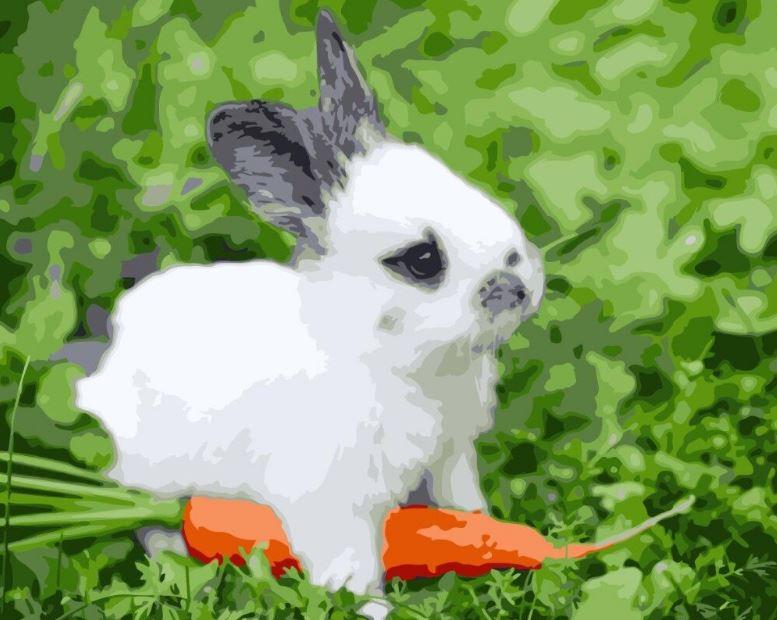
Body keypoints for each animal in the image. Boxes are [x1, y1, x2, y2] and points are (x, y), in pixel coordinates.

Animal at [75, 9, 544, 616]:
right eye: (421, 260)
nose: (517, 286)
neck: (390, 359)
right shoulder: (334, 509)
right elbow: (353, 573)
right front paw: (374, 611)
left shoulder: (451, 462)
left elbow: (463, 512)